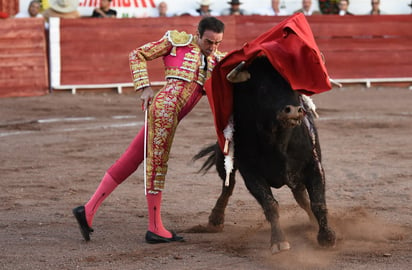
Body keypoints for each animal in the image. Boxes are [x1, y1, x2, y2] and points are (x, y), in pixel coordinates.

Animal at [192, 56, 334, 253]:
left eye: (294, 87)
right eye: (263, 88)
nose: (294, 110)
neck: (278, 139)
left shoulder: (313, 165)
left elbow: (318, 202)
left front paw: (326, 237)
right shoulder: (251, 173)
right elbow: (270, 205)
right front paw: (279, 241)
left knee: (301, 197)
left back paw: (313, 223)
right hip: (224, 157)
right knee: (228, 186)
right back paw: (215, 220)